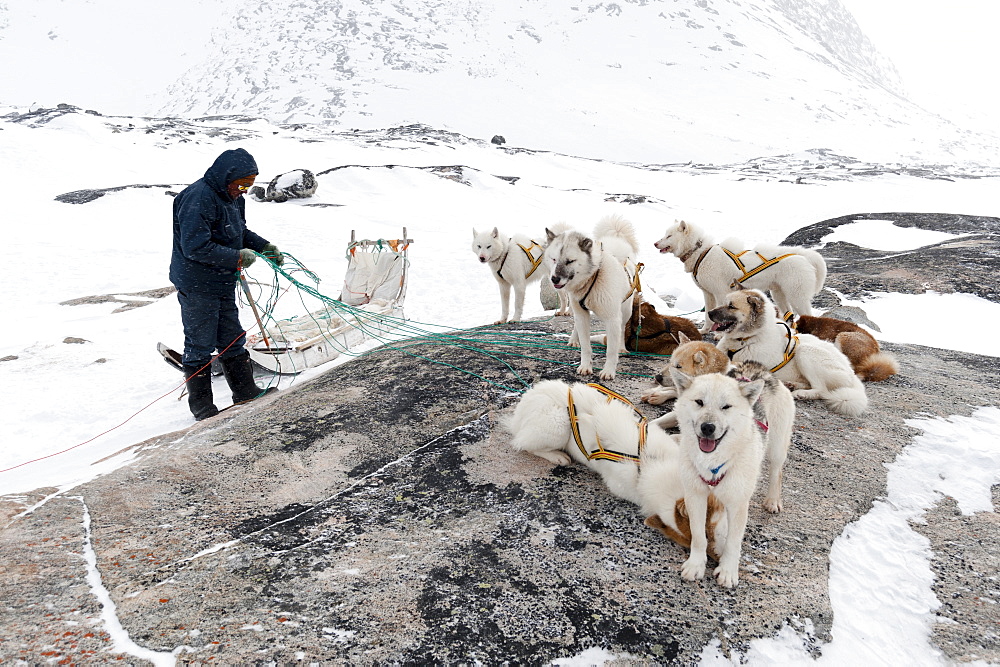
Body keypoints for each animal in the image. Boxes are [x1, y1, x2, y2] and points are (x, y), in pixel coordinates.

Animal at [508, 380, 728, 560]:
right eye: (701, 538)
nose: (717, 559)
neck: (652, 462)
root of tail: (527, 400)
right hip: (558, 424)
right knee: (524, 443)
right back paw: (558, 456)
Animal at [548, 215, 640, 380]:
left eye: (570, 261)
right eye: (553, 259)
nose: (554, 279)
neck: (592, 277)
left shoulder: (613, 319)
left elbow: (611, 350)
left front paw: (608, 370)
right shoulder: (582, 314)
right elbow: (586, 347)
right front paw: (585, 366)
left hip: (625, 311)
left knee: (623, 329)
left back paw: (622, 347)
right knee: (576, 326)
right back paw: (574, 339)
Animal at [652, 220, 824, 332]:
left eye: (669, 236)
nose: (655, 243)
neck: (700, 252)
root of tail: (802, 256)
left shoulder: (720, 292)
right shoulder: (708, 294)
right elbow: (708, 315)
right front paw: (704, 330)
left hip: (797, 297)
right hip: (779, 295)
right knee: (788, 315)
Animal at [672, 374, 764, 588]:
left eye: (726, 406)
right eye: (699, 402)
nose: (707, 427)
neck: (712, 465)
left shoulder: (738, 504)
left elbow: (733, 541)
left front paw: (728, 570)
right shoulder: (695, 496)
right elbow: (698, 535)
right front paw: (696, 565)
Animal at [712, 288, 868, 418]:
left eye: (731, 306)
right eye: (724, 303)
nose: (709, 313)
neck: (748, 339)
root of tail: (852, 374)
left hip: (805, 352)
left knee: (822, 391)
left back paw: (802, 393)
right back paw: (792, 385)